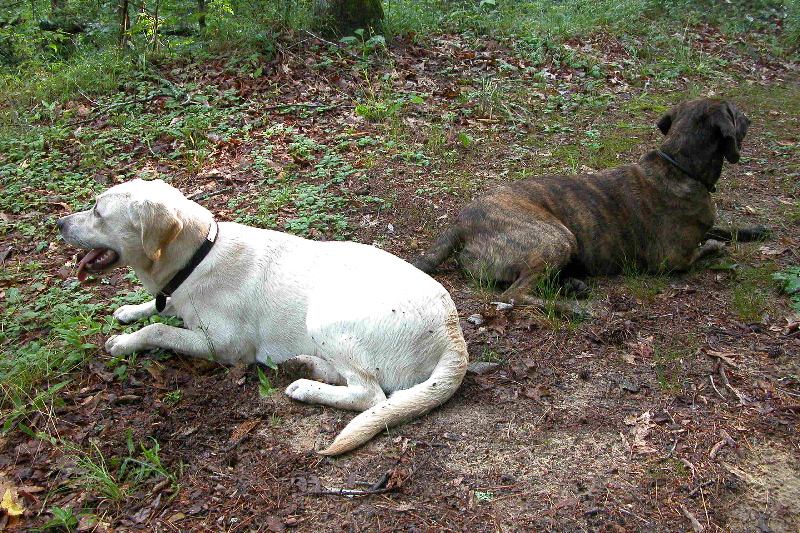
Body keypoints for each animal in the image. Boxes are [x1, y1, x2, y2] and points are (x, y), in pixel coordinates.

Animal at [412, 98, 768, 308]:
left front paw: (754, 230)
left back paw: (572, 287)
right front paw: (716, 248)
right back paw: (571, 307)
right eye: (735, 113)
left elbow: (724, 228)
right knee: (514, 295)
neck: (678, 165)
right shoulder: (671, 260)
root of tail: (460, 224)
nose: (750, 118)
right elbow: (704, 248)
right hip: (557, 238)